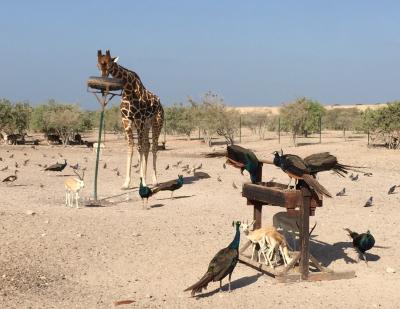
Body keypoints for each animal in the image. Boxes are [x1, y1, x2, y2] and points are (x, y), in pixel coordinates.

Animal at [97, 49, 164, 186]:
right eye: (98, 65)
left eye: (110, 64)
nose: (104, 82)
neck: (128, 90)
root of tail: (161, 104)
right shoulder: (126, 120)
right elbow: (130, 147)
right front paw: (126, 183)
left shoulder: (139, 120)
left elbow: (139, 147)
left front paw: (143, 182)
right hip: (146, 125)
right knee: (147, 145)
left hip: (157, 123)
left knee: (153, 147)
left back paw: (154, 180)